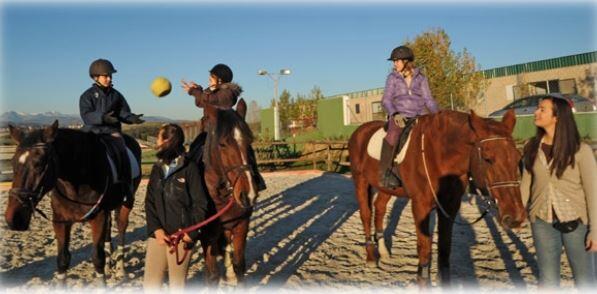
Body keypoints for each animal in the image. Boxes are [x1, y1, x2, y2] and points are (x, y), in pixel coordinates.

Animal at [4, 120, 141, 284]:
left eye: (40, 163)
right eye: (12, 163)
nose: (13, 219)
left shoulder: (98, 218)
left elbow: (97, 258)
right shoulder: (60, 221)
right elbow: (63, 259)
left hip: (126, 203)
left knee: (121, 228)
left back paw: (121, 269)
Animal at [198, 98, 258, 284]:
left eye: (250, 141)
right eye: (222, 144)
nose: (248, 195)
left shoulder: (241, 226)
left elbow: (239, 265)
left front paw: (233, 275)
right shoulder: (208, 236)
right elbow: (212, 276)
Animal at [346, 109, 524, 286]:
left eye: (518, 158)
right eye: (487, 159)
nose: (515, 217)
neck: (438, 155)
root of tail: (360, 131)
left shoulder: (449, 207)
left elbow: (444, 248)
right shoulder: (420, 206)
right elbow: (424, 247)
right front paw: (423, 281)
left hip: (387, 188)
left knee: (380, 208)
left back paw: (383, 251)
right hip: (360, 181)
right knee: (366, 214)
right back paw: (371, 256)